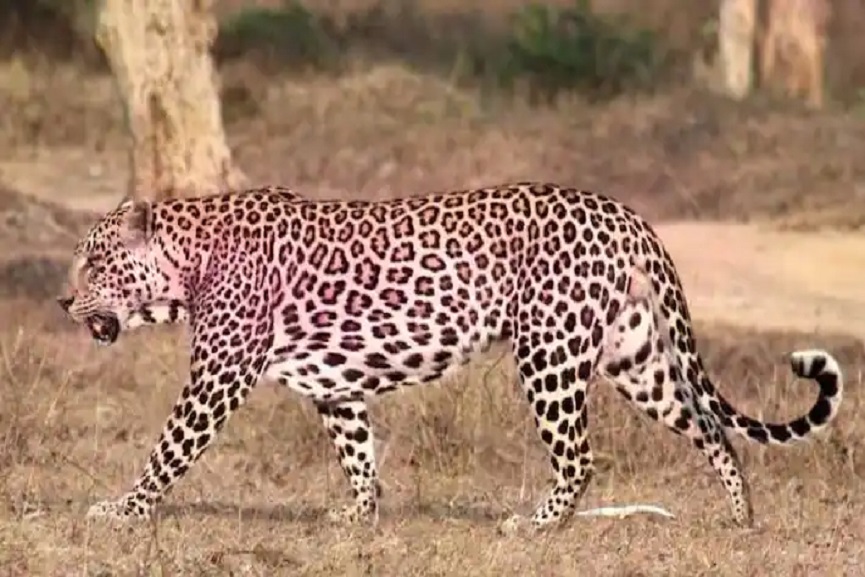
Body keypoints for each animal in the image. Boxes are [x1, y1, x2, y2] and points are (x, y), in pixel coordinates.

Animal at [57, 181, 843, 532]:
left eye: (94, 261)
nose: (63, 302)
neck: (187, 264)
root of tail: (623, 213)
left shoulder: (216, 377)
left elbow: (168, 448)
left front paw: (120, 508)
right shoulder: (334, 385)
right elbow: (358, 451)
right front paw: (359, 515)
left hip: (549, 352)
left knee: (581, 456)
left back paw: (535, 524)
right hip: (635, 354)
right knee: (711, 429)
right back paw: (741, 516)